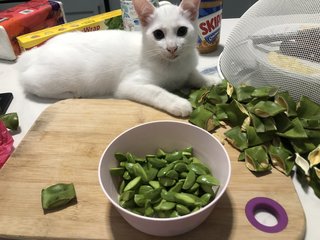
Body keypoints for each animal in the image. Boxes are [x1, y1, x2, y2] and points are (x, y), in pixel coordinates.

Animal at [16, 0, 219, 116]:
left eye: (182, 31)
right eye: (158, 34)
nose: (172, 48)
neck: (174, 65)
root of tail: (33, 52)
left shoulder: (187, 69)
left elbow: (195, 75)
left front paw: (212, 80)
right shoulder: (130, 85)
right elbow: (158, 92)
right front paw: (178, 103)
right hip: (52, 80)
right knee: (31, 85)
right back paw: (71, 94)